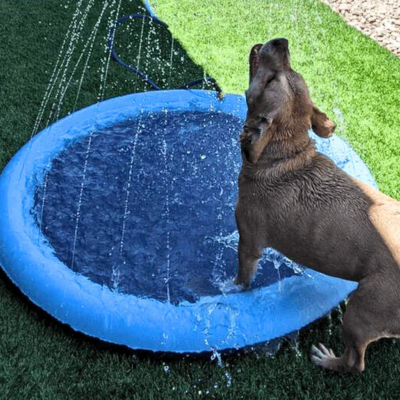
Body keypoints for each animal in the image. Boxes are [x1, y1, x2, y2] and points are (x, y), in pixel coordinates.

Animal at [233, 37, 400, 372]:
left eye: (271, 81)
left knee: (355, 361)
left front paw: (231, 289)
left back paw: (328, 361)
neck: (285, 154)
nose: (280, 41)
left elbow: (243, 277)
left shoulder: (248, 239)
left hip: (362, 309)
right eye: (292, 70)